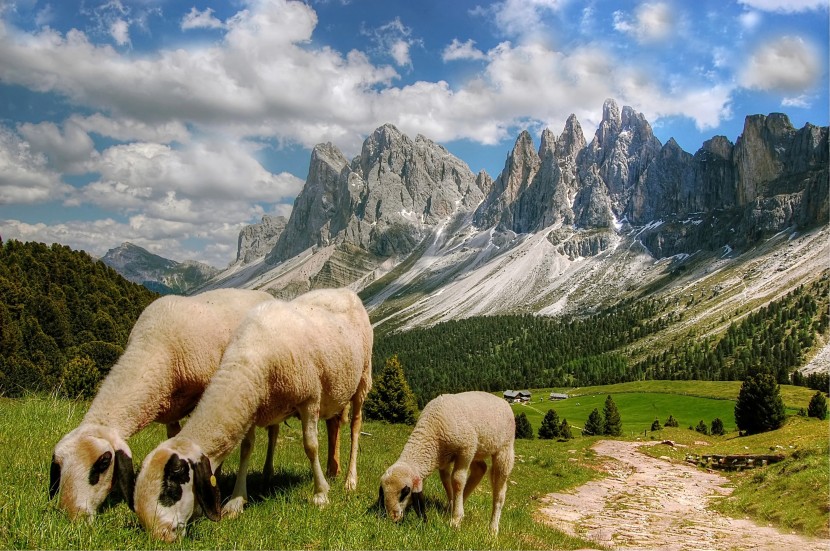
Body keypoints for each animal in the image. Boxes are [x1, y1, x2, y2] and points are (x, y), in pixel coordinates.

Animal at [48, 288, 276, 520]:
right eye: (59, 465)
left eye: (103, 463)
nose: (72, 514)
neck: (152, 345)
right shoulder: (171, 406)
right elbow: (176, 438)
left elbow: (237, 445)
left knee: (268, 435)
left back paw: (265, 475)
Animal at [133, 288, 374, 544]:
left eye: (171, 489)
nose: (161, 536)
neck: (249, 360)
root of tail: (343, 290)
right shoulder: (252, 404)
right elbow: (246, 449)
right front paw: (236, 501)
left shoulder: (309, 398)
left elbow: (310, 446)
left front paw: (320, 494)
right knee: (334, 424)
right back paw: (333, 471)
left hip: (363, 378)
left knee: (355, 427)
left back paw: (350, 480)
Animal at [380, 390, 516, 536]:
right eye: (383, 492)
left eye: (405, 492)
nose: (393, 518)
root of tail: (502, 400)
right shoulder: (444, 458)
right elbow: (445, 480)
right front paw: (452, 508)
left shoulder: (466, 449)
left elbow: (457, 480)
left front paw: (455, 519)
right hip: (478, 449)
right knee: (480, 469)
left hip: (504, 449)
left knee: (499, 493)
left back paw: (493, 529)